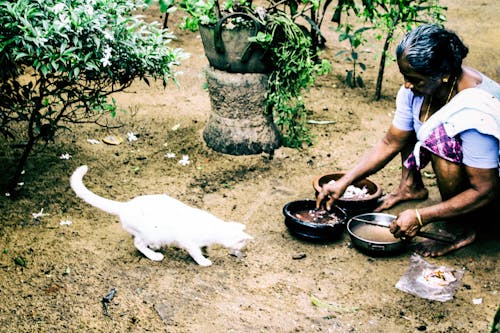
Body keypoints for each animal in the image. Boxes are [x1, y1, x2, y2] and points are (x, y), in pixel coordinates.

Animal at [68, 165, 252, 266]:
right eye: (242, 245)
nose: (243, 253)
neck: (213, 228)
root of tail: (126, 206)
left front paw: (206, 251)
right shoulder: (187, 240)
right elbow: (195, 252)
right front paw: (203, 261)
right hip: (150, 232)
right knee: (138, 243)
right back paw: (154, 255)